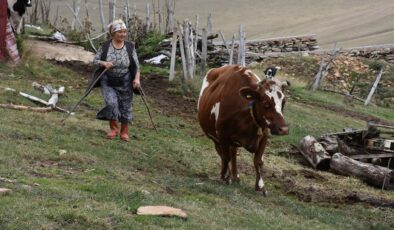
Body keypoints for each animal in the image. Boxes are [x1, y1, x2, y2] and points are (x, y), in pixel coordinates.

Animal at [199, 64, 288, 196]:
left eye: (283, 102)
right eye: (266, 103)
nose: (284, 129)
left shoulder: (264, 136)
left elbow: (258, 161)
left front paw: (260, 187)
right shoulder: (222, 135)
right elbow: (225, 157)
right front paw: (225, 177)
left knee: (233, 153)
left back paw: (236, 176)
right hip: (214, 137)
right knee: (223, 154)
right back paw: (229, 175)